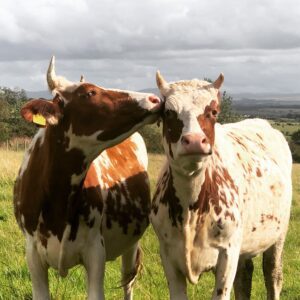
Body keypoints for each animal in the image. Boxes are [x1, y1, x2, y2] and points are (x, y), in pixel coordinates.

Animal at [13, 56, 162, 300]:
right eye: (90, 92)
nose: (154, 98)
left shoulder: (95, 252)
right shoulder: (33, 254)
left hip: (132, 242)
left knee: (128, 280)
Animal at [151, 72, 292, 300]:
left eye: (213, 112)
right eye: (169, 112)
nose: (194, 140)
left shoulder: (228, 254)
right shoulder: (168, 254)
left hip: (278, 235)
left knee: (272, 275)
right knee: (244, 278)